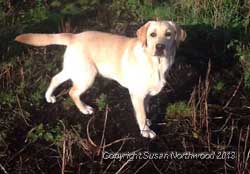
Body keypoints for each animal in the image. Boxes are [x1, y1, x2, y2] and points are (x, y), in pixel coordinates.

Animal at [15, 20, 186, 139]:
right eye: (152, 34)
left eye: (169, 34)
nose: (160, 47)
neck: (156, 64)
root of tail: (74, 36)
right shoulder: (137, 94)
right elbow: (141, 114)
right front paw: (145, 131)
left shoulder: (147, 95)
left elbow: (145, 108)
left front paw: (147, 122)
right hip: (87, 76)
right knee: (72, 92)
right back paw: (84, 109)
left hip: (74, 70)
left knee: (55, 78)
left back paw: (49, 97)